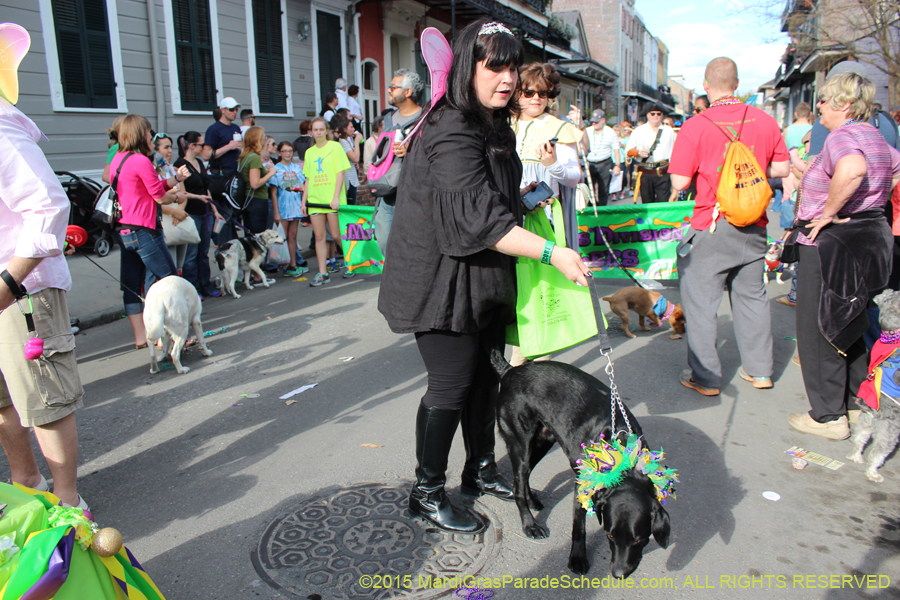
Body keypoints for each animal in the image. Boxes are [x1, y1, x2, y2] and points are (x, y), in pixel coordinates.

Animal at [488, 350, 672, 580]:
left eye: (638, 539)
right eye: (610, 535)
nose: (618, 574)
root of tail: (510, 371)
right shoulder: (581, 488)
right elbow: (579, 527)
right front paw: (577, 559)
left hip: (542, 442)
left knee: (524, 477)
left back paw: (533, 501)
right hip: (521, 444)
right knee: (518, 485)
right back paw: (530, 525)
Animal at [848, 288, 896, 480]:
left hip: (866, 421)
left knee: (859, 439)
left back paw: (855, 457)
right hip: (888, 433)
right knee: (877, 453)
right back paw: (873, 473)